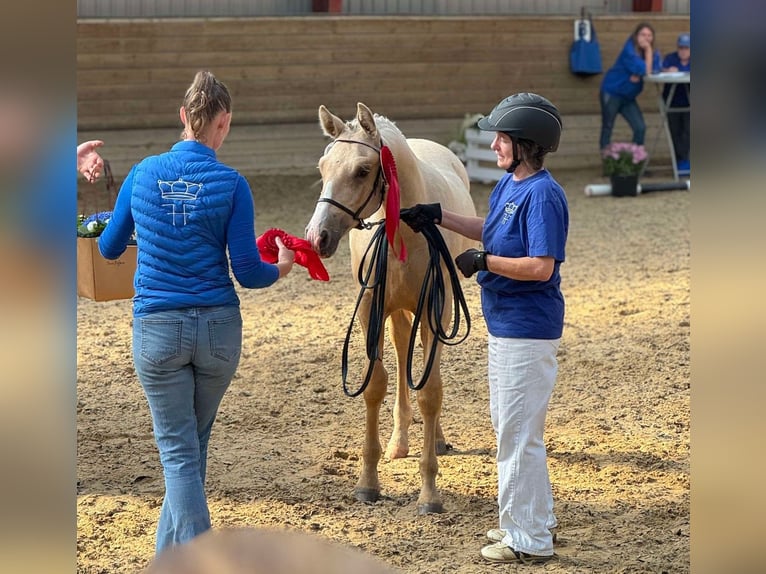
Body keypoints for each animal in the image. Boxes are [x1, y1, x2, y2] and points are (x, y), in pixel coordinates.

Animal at [304, 101, 474, 516]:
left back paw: (437, 438)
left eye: (363, 170)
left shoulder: (436, 311)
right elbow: (375, 385)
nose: (317, 238)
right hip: (396, 313)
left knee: (430, 369)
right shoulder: (371, 311)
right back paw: (399, 442)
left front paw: (429, 494)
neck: (404, 233)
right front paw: (368, 483)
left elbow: (430, 391)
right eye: (323, 167)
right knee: (401, 352)